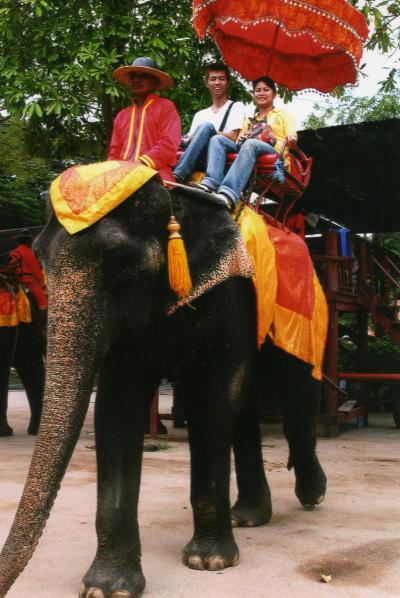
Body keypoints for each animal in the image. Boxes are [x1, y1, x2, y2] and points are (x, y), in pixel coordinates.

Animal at [0, 182, 326, 598]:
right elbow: (117, 410)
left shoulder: (230, 298)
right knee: (246, 416)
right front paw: (107, 588)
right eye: (39, 258)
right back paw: (248, 517)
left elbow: (212, 401)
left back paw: (311, 496)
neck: (176, 201)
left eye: (117, 259)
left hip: (309, 328)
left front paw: (209, 562)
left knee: (297, 406)